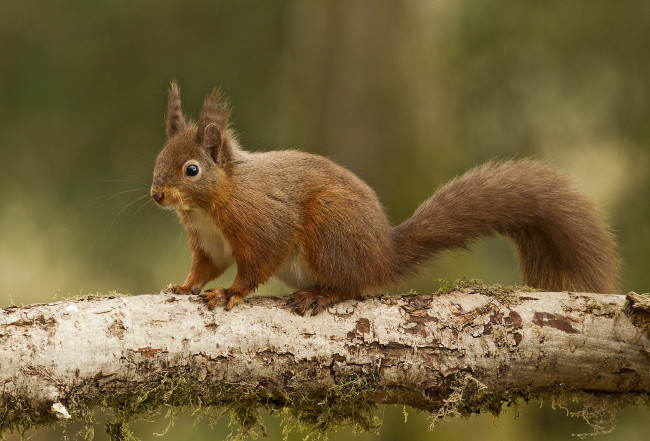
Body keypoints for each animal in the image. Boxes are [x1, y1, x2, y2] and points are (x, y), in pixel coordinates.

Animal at [151, 82, 616, 314]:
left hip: (331, 231)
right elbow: (206, 266)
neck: (209, 207)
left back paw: (322, 295)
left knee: (352, 285)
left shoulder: (260, 220)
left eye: (191, 169)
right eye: (158, 158)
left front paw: (231, 293)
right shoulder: (208, 241)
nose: (157, 195)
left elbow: (258, 260)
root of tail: (382, 253)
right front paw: (184, 286)